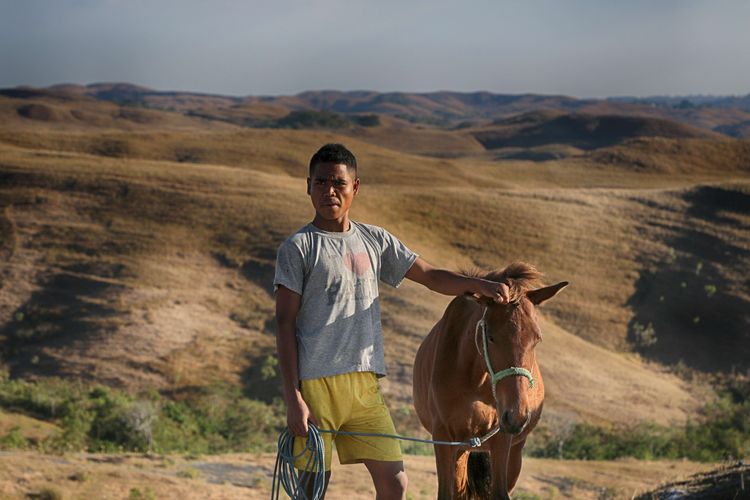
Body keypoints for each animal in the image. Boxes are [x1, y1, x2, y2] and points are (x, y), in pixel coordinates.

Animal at [414, 264, 568, 498]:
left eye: (537, 339)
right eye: (491, 336)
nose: (517, 416)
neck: (474, 380)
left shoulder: (501, 438)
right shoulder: (444, 437)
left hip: (511, 452)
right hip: (462, 448)